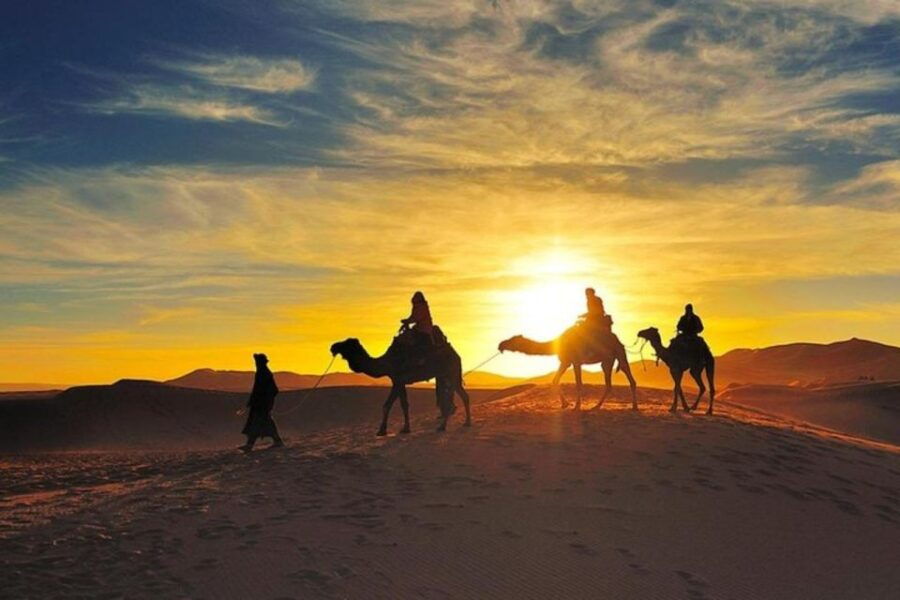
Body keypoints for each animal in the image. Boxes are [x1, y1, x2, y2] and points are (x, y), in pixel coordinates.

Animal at [330, 330, 471, 435]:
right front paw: (398, 429)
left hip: (450, 373)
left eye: (346, 343)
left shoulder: (397, 380)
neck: (386, 362)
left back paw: (442, 426)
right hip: (449, 375)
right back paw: (467, 422)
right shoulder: (399, 381)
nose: (333, 347)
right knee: (463, 396)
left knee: (450, 399)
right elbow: (400, 404)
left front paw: (388, 430)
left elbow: (391, 405)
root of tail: (456, 355)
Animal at [498, 324, 637, 410]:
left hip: (619, 353)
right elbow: (555, 380)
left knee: (628, 376)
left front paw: (576, 406)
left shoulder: (576, 361)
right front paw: (565, 404)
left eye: (513, 340)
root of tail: (618, 340)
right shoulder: (565, 362)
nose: (501, 345)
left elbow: (579, 383)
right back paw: (597, 406)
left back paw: (634, 407)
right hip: (607, 360)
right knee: (609, 384)